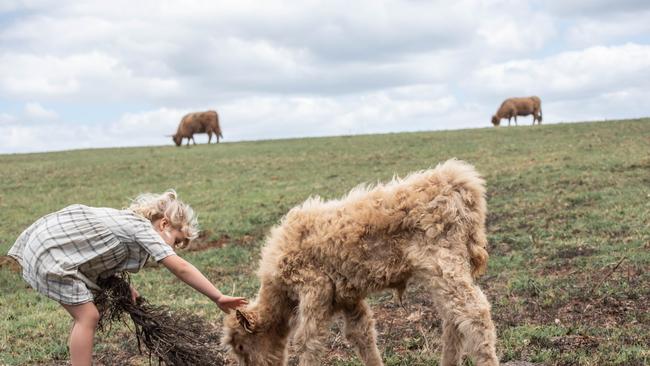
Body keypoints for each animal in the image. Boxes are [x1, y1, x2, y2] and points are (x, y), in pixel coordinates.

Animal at [221, 159, 496, 366]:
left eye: (241, 347)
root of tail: (458, 180)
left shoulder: (315, 289)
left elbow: (309, 341)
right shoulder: (347, 297)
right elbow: (361, 335)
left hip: (443, 263)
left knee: (473, 312)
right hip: (443, 269)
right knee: (453, 317)